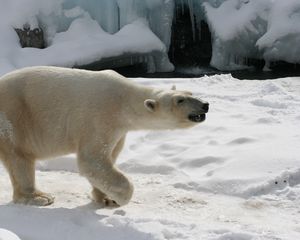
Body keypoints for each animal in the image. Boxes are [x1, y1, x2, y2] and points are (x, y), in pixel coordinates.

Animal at [0, 66, 209, 207]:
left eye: (190, 93)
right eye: (180, 100)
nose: (205, 105)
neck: (124, 99)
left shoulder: (119, 129)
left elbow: (108, 158)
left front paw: (105, 197)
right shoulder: (100, 115)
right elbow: (92, 160)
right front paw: (120, 198)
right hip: (14, 117)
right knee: (19, 158)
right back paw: (39, 197)